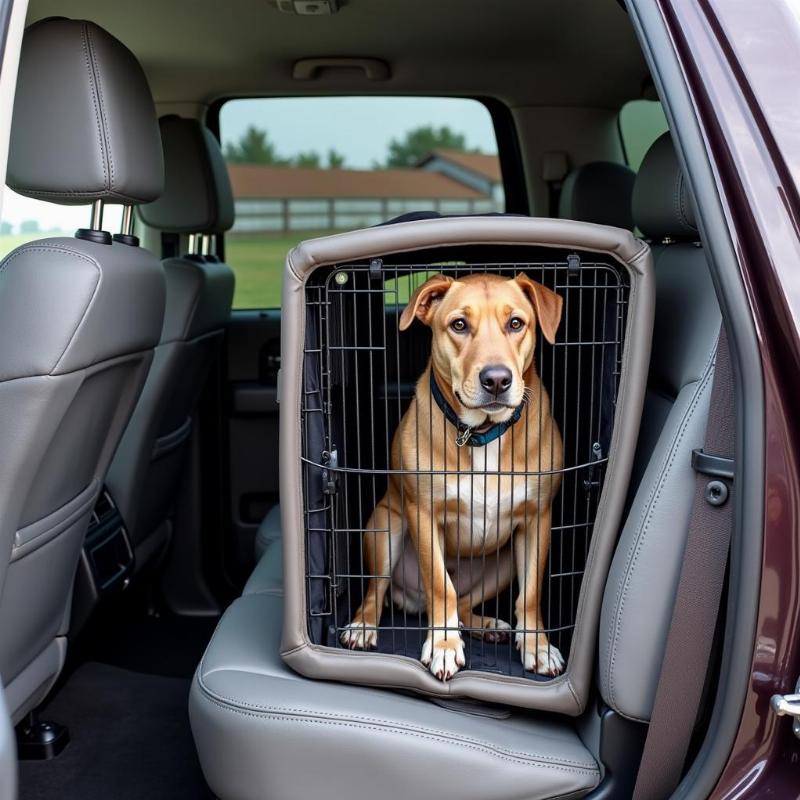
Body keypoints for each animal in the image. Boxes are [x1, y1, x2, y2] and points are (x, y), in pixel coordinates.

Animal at [340, 272, 564, 680]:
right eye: (459, 325)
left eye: (516, 323)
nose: (496, 379)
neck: (483, 433)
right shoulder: (423, 516)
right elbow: (441, 586)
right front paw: (443, 645)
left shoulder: (537, 519)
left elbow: (531, 594)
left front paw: (537, 646)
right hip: (384, 529)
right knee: (379, 592)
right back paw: (364, 626)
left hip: (503, 563)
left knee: (463, 602)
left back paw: (485, 625)